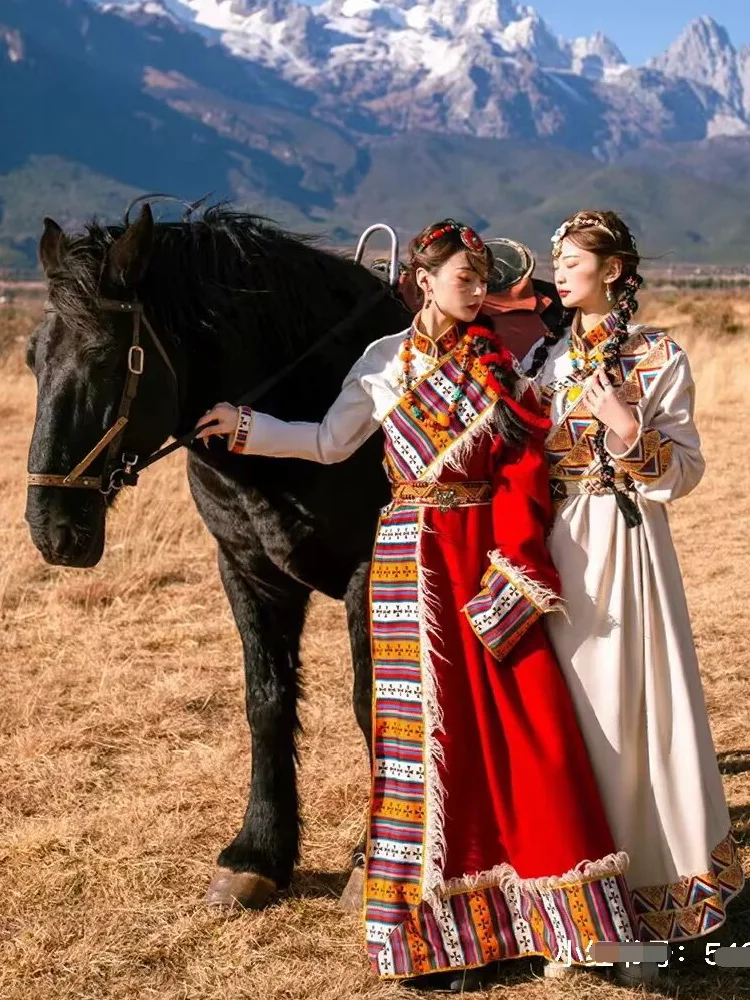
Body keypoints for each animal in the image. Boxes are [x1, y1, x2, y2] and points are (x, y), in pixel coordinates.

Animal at [25, 203, 412, 908]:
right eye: (33, 358)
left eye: (108, 359)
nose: (52, 528)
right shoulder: (245, 570)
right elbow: (265, 700)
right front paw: (256, 852)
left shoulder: (369, 572)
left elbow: (374, 699)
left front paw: (374, 861)